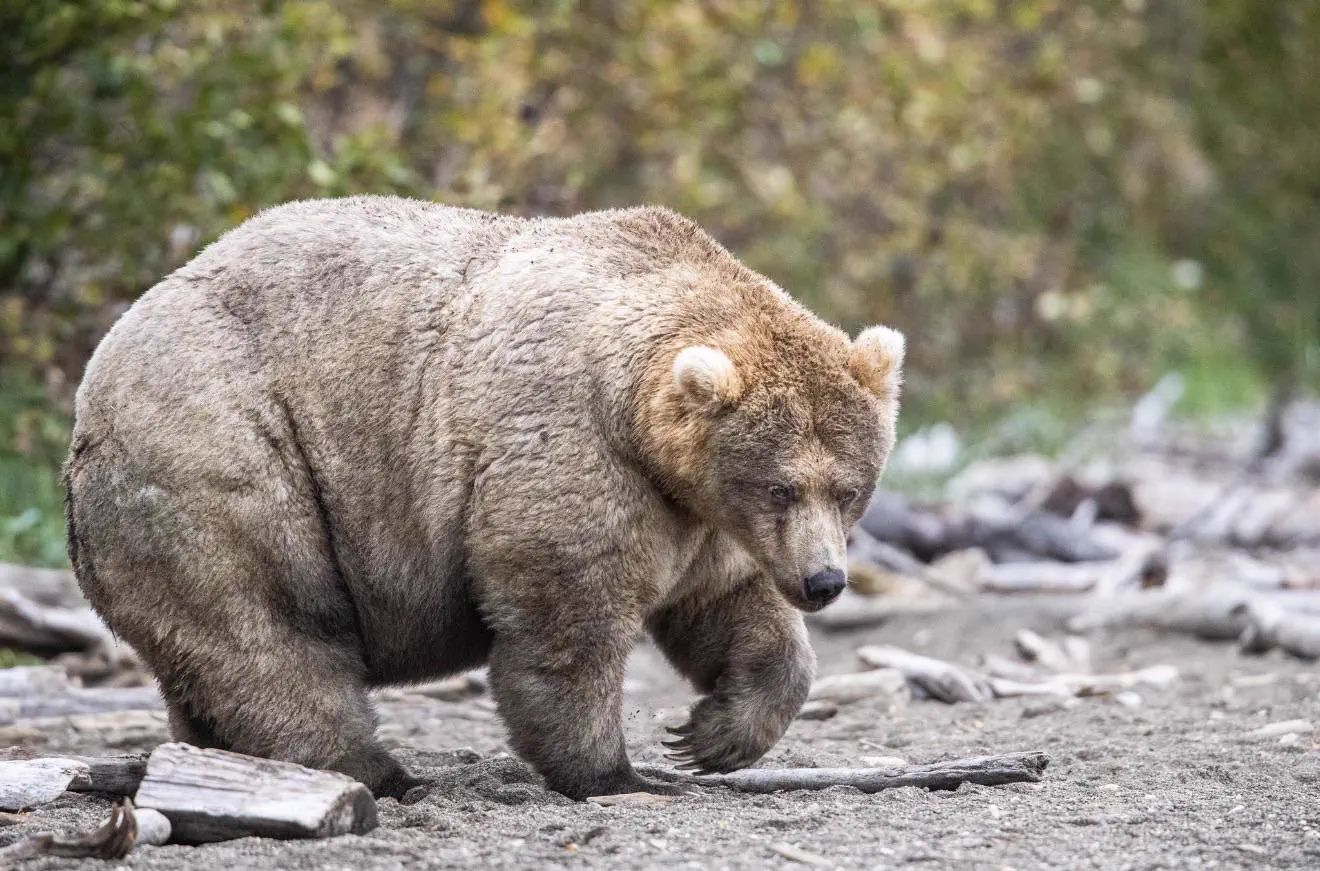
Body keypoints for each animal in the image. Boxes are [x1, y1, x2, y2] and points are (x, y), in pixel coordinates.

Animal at [63, 196, 905, 800]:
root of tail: (95, 380)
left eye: (849, 487)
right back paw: (376, 769)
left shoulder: (699, 515)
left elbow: (729, 607)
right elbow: (566, 616)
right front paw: (617, 772)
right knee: (270, 625)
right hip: (226, 451)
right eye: (780, 484)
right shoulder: (573, 447)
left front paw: (711, 734)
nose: (824, 581)